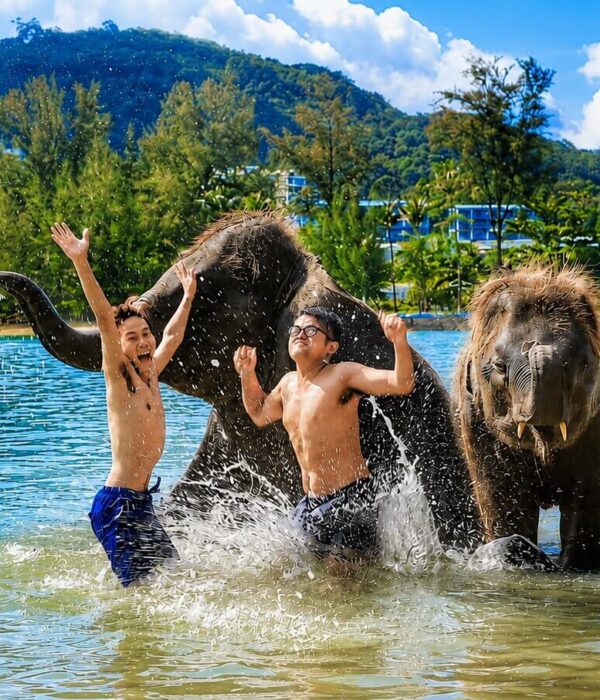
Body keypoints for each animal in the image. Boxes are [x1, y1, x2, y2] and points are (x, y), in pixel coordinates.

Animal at [454, 265, 600, 570]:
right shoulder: (474, 420)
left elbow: (586, 499)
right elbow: (506, 501)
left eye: (583, 365)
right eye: (499, 366)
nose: (535, 347)